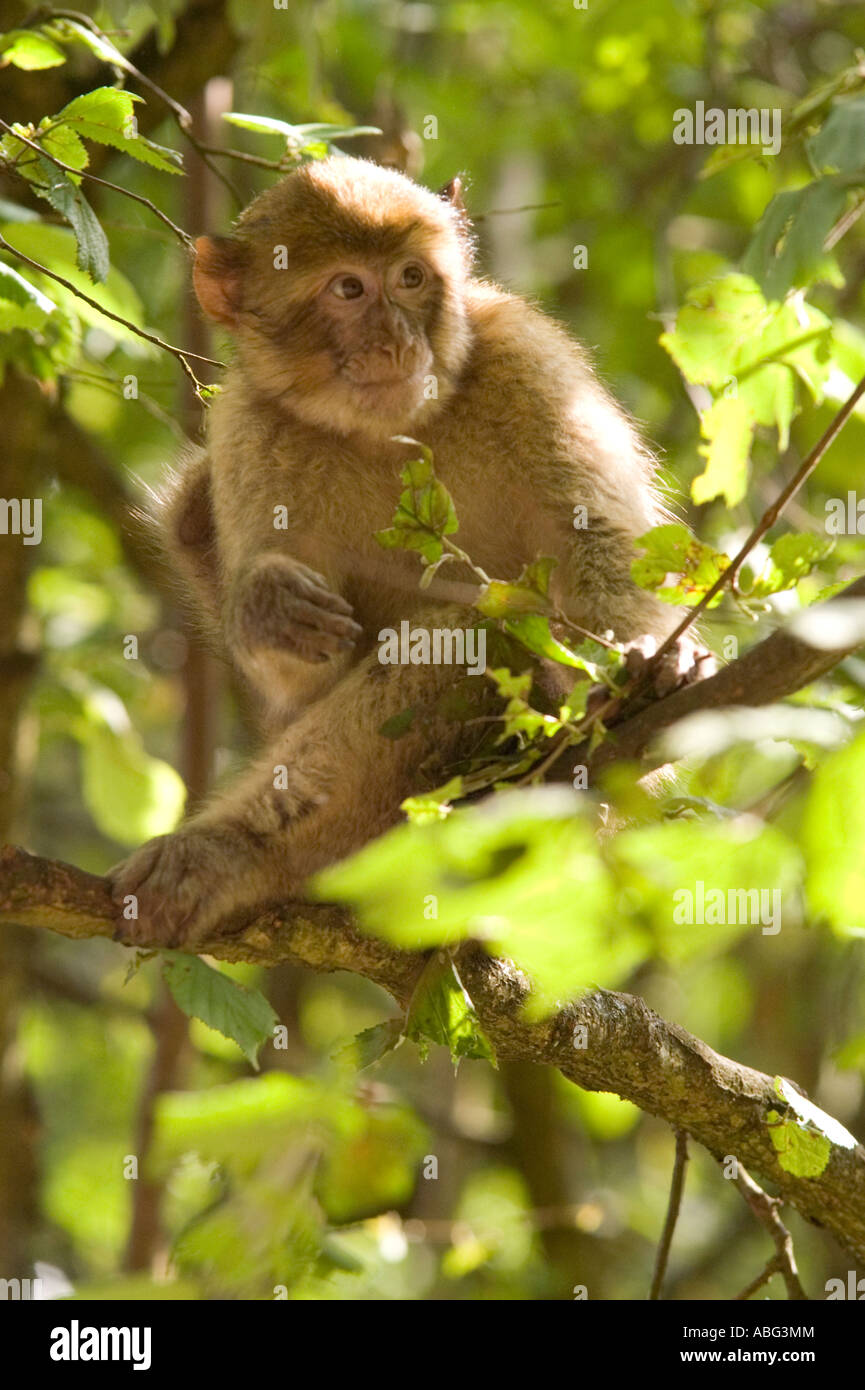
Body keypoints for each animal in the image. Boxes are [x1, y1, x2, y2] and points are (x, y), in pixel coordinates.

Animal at [108, 157, 712, 950]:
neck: (387, 431)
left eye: (410, 278)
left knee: (471, 640)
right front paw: (269, 611)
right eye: (349, 289)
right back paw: (237, 854)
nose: (397, 343)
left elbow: (599, 550)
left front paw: (648, 663)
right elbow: (303, 682)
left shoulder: (526, 360)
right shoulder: (248, 428)